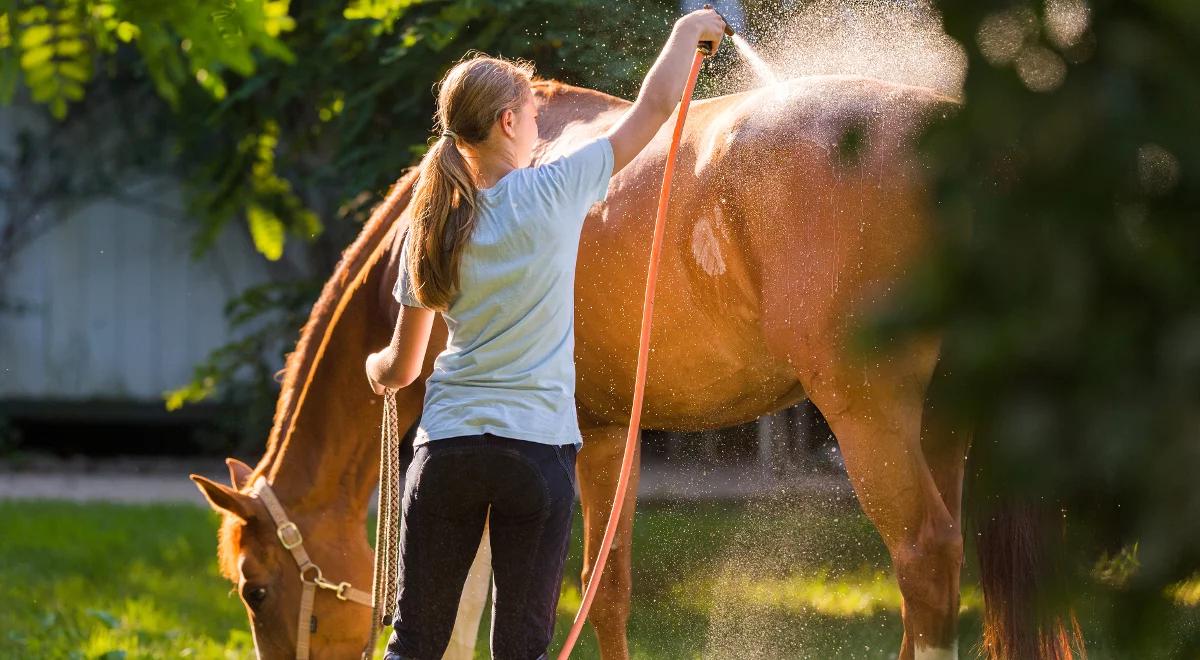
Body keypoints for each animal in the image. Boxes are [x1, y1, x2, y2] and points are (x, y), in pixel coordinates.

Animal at [192, 77, 1065, 660]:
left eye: (256, 588)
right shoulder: (601, 434)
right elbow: (573, 592)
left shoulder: (549, 443)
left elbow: (553, 593)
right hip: (945, 425)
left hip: (871, 419)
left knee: (925, 558)